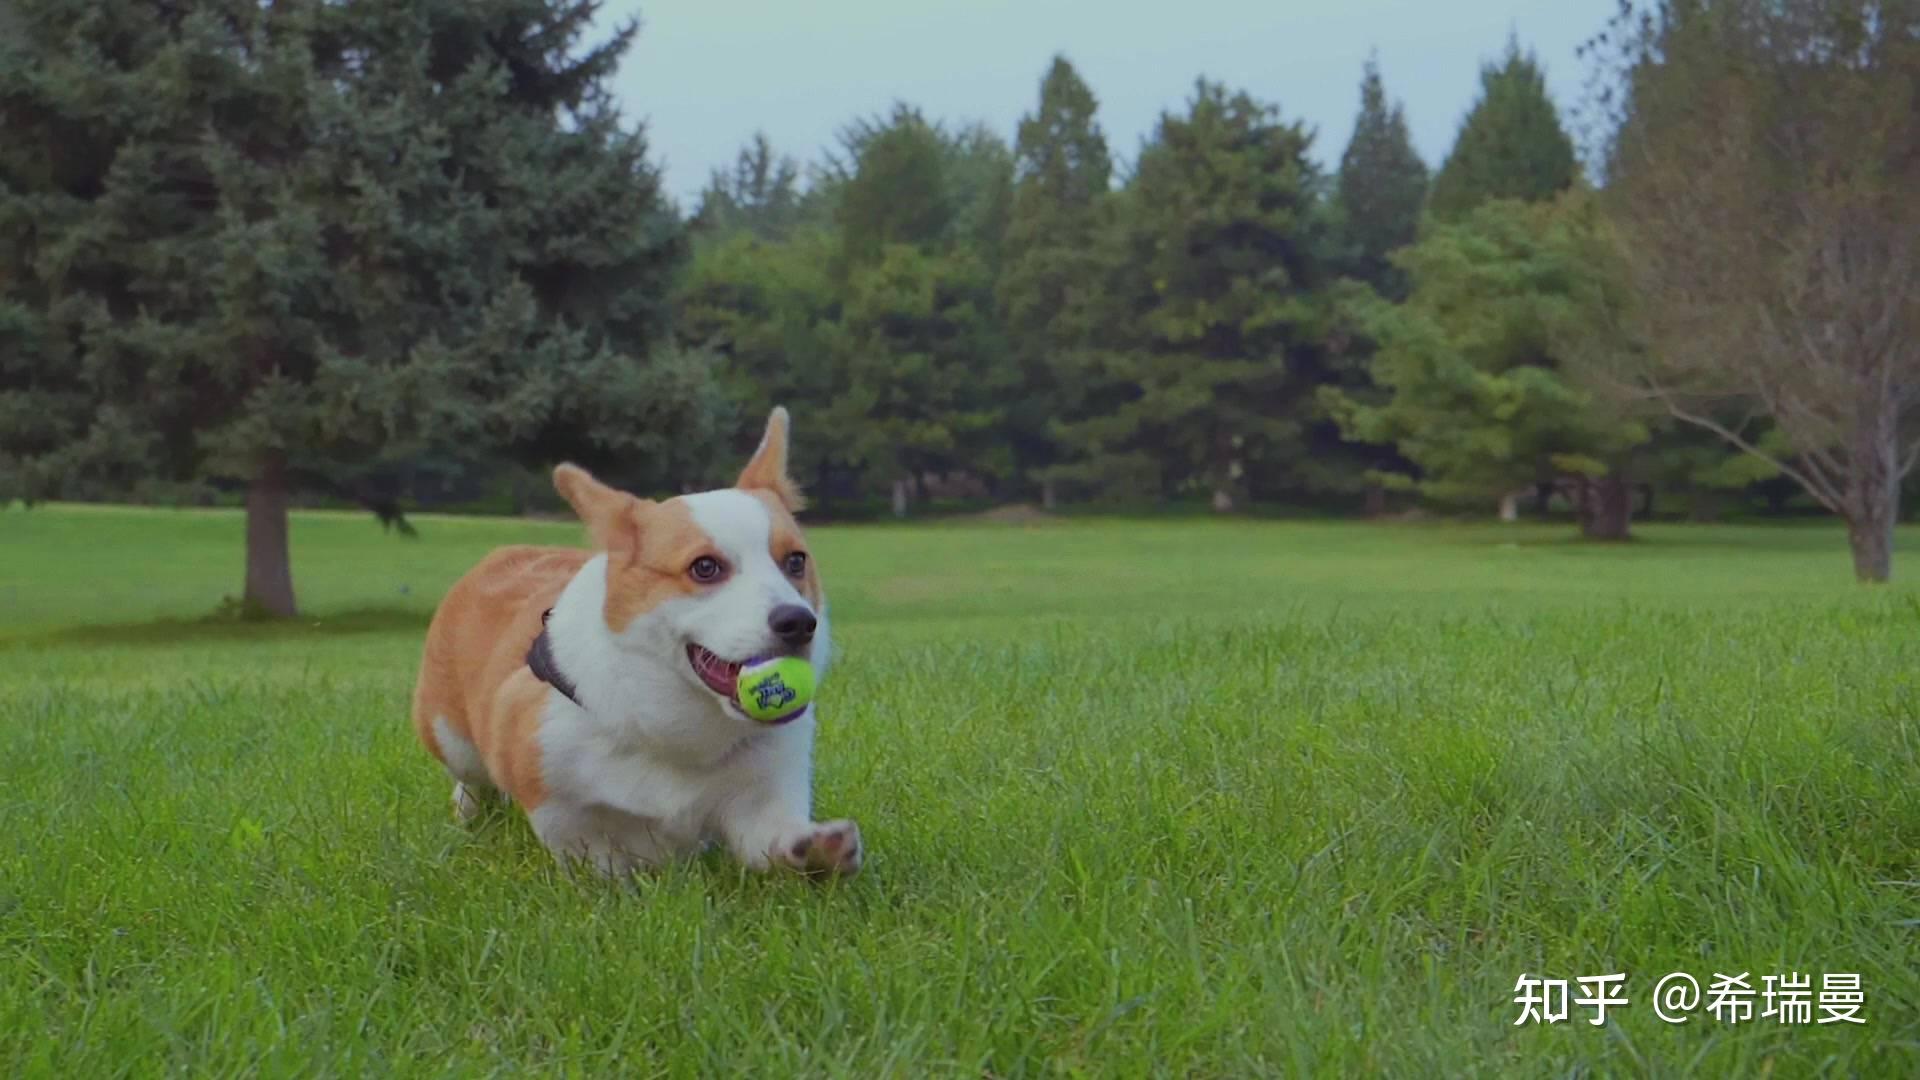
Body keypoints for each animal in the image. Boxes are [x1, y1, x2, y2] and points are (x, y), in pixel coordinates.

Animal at [412, 407, 864, 880]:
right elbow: (589, 852)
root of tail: (500, 555)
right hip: (450, 737)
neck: (681, 727)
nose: (799, 622)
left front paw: (820, 851)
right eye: (705, 567)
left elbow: (772, 839)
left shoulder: (762, 797)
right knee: (469, 778)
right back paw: (468, 812)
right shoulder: (552, 793)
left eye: (796, 561)